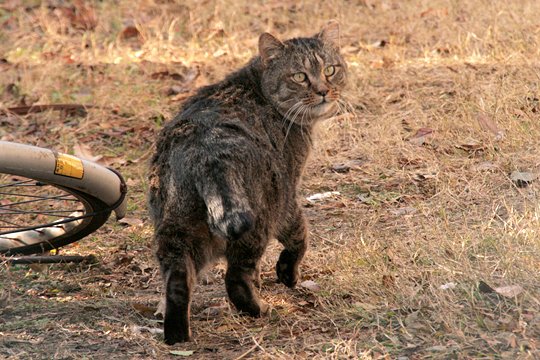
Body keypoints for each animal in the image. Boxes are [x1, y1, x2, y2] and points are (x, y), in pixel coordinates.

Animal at [148, 21, 348, 344]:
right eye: (299, 76)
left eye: (330, 70)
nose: (323, 91)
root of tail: (206, 153)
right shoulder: (288, 193)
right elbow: (300, 234)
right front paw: (287, 273)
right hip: (258, 220)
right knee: (235, 278)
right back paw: (259, 309)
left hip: (177, 231)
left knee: (177, 283)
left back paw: (177, 334)